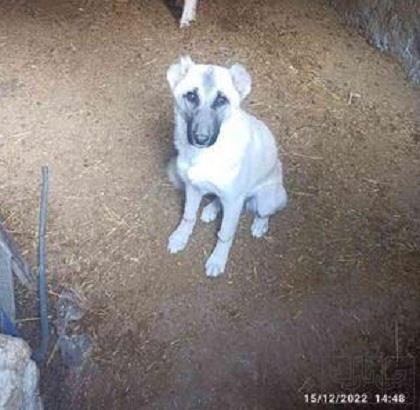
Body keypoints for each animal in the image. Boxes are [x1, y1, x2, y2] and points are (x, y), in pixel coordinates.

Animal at [166, 56, 287, 277]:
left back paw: (259, 225)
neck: (205, 156)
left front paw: (217, 260)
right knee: (219, 200)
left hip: (266, 199)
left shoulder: (233, 200)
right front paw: (180, 237)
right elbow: (188, 216)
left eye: (221, 100)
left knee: (265, 213)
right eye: (191, 96)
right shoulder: (193, 188)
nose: (201, 139)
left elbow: (225, 234)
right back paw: (211, 209)